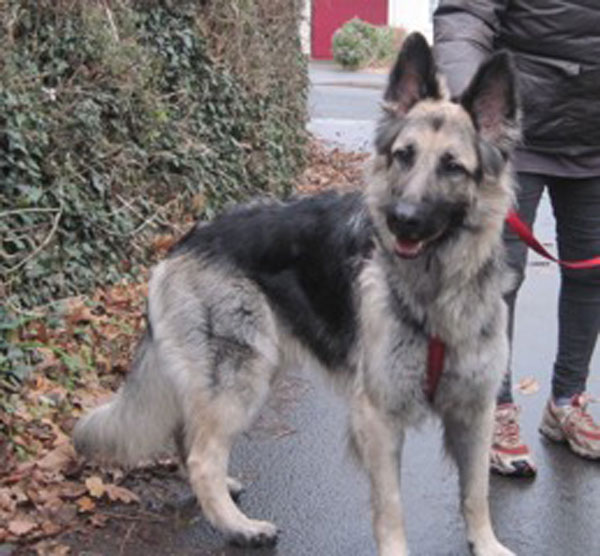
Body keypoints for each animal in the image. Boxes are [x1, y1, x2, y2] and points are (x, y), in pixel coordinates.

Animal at [74, 33, 516, 556]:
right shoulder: (379, 418)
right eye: (404, 155)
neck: (435, 289)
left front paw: (487, 545)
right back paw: (239, 526)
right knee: (202, 456)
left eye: (452, 167)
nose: (401, 220)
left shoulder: (476, 412)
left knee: (189, 436)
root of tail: (183, 243)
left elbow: (476, 493)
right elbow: (391, 508)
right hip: (241, 378)